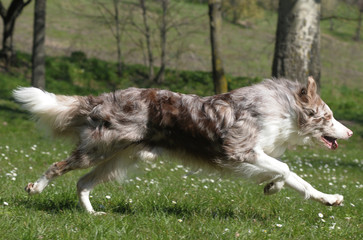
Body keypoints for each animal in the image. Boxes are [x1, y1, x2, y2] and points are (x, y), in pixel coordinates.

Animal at [13, 77, 352, 214]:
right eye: (329, 116)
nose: (349, 133)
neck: (285, 111)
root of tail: (103, 98)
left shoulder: (252, 155)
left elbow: (293, 177)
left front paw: (325, 198)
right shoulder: (239, 150)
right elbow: (287, 168)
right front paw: (276, 185)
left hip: (119, 160)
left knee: (82, 182)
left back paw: (92, 214)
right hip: (98, 150)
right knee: (58, 166)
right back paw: (36, 187)